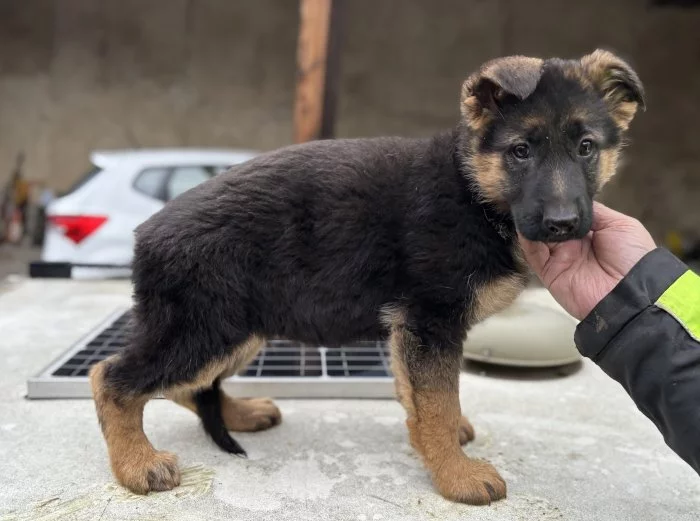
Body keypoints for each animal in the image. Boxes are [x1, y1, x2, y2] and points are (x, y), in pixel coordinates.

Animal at [89, 49, 644, 504]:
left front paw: (435, 443)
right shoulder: (430, 321)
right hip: (205, 329)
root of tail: (146, 233)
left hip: (238, 332)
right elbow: (438, 401)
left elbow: (417, 392)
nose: (563, 225)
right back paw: (136, 465)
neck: (475, 191)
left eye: (586, 148)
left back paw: (238, 414)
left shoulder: (409, 327)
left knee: (188, 387)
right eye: (521, 151)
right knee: (112, 377)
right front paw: (456, 475)